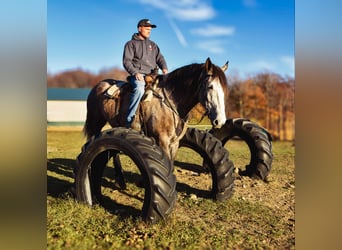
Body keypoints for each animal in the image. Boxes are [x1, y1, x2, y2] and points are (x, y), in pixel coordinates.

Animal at [83, 57, 228, 162]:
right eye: (210, 86)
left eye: (224, 89)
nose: (220, 121)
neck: (170, 102)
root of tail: (98, 86)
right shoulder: (162, 141)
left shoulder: (174, 143)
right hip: (96, 124)